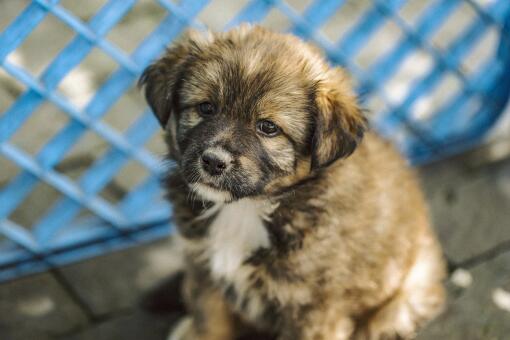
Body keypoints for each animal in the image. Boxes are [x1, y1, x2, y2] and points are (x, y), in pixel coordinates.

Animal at [139, 24, 446, 340]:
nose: (213, 161)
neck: (246, 209)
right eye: (206, 108)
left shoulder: (312, 308)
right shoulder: (206, 276)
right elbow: (209, 325)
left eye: (268, 127)